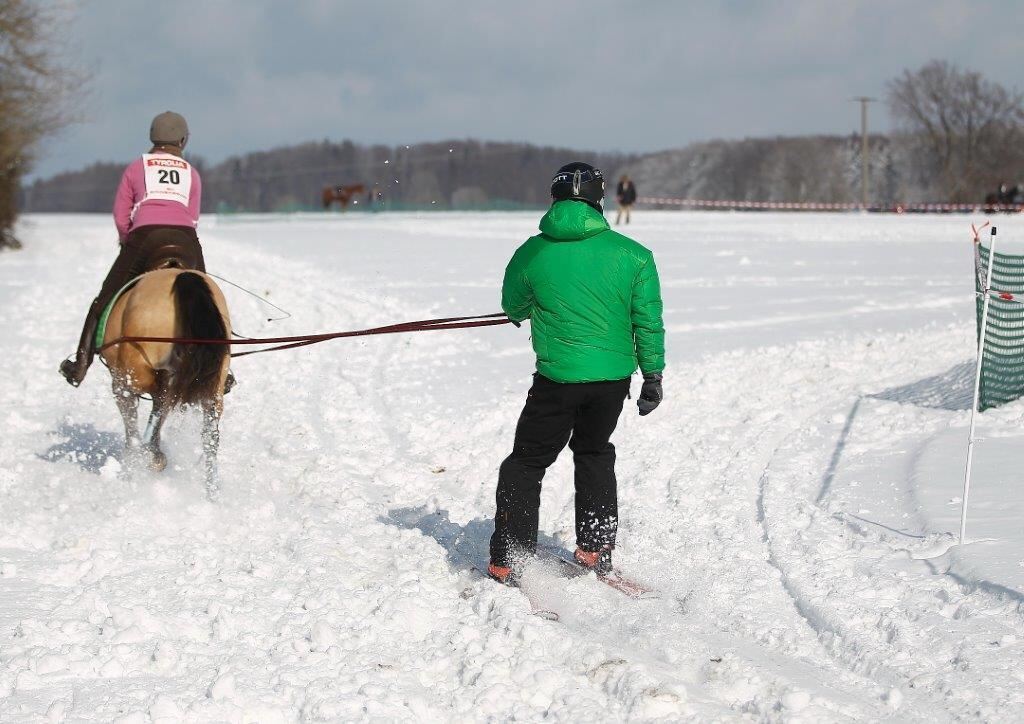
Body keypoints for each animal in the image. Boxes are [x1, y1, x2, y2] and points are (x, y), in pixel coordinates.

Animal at [98, 268, 230, 501]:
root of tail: (182, 277)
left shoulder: (125, 385)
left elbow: (133, 430)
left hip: (134, 377)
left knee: (150, 414)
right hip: (213, 390)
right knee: (209, 437)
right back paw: (211, 494)